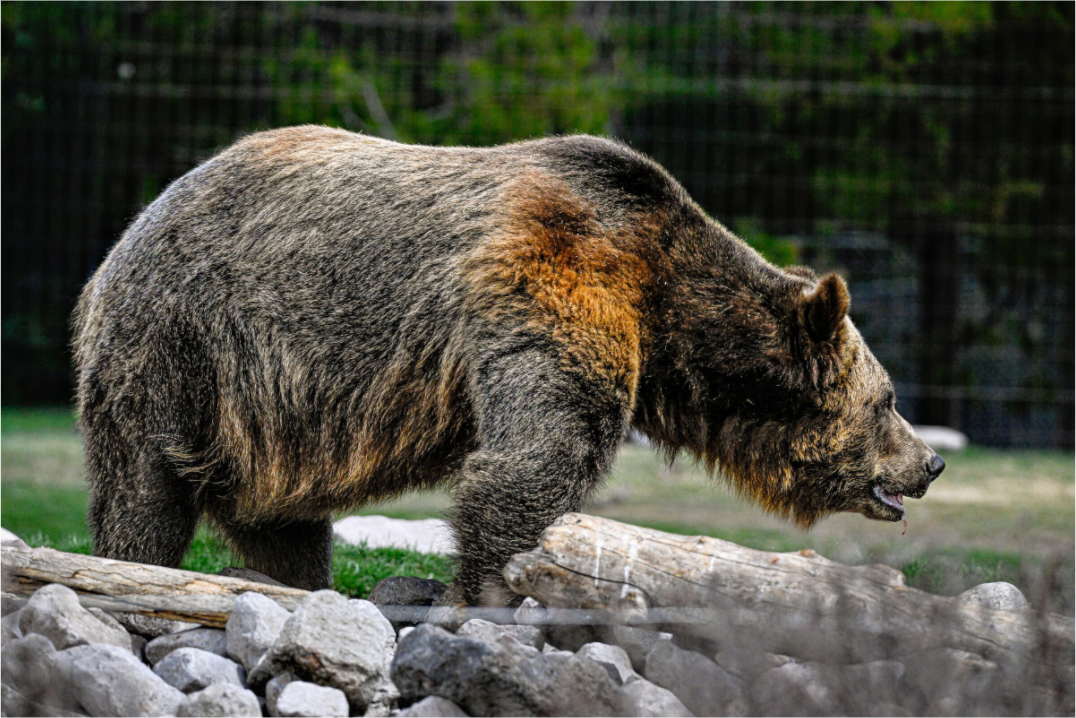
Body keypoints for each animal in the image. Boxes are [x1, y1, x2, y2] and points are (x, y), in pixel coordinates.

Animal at [73, 125, 944, 605]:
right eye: (888, 399)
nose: (930, 463)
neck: (664, 306)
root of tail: (130, 229)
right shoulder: (556, 276)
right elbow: (537, 459)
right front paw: (491, 588)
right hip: (182, 338)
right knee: (144, 483)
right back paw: (134, 563)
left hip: (272, 410)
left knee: (284, 517)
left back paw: (298, 581)